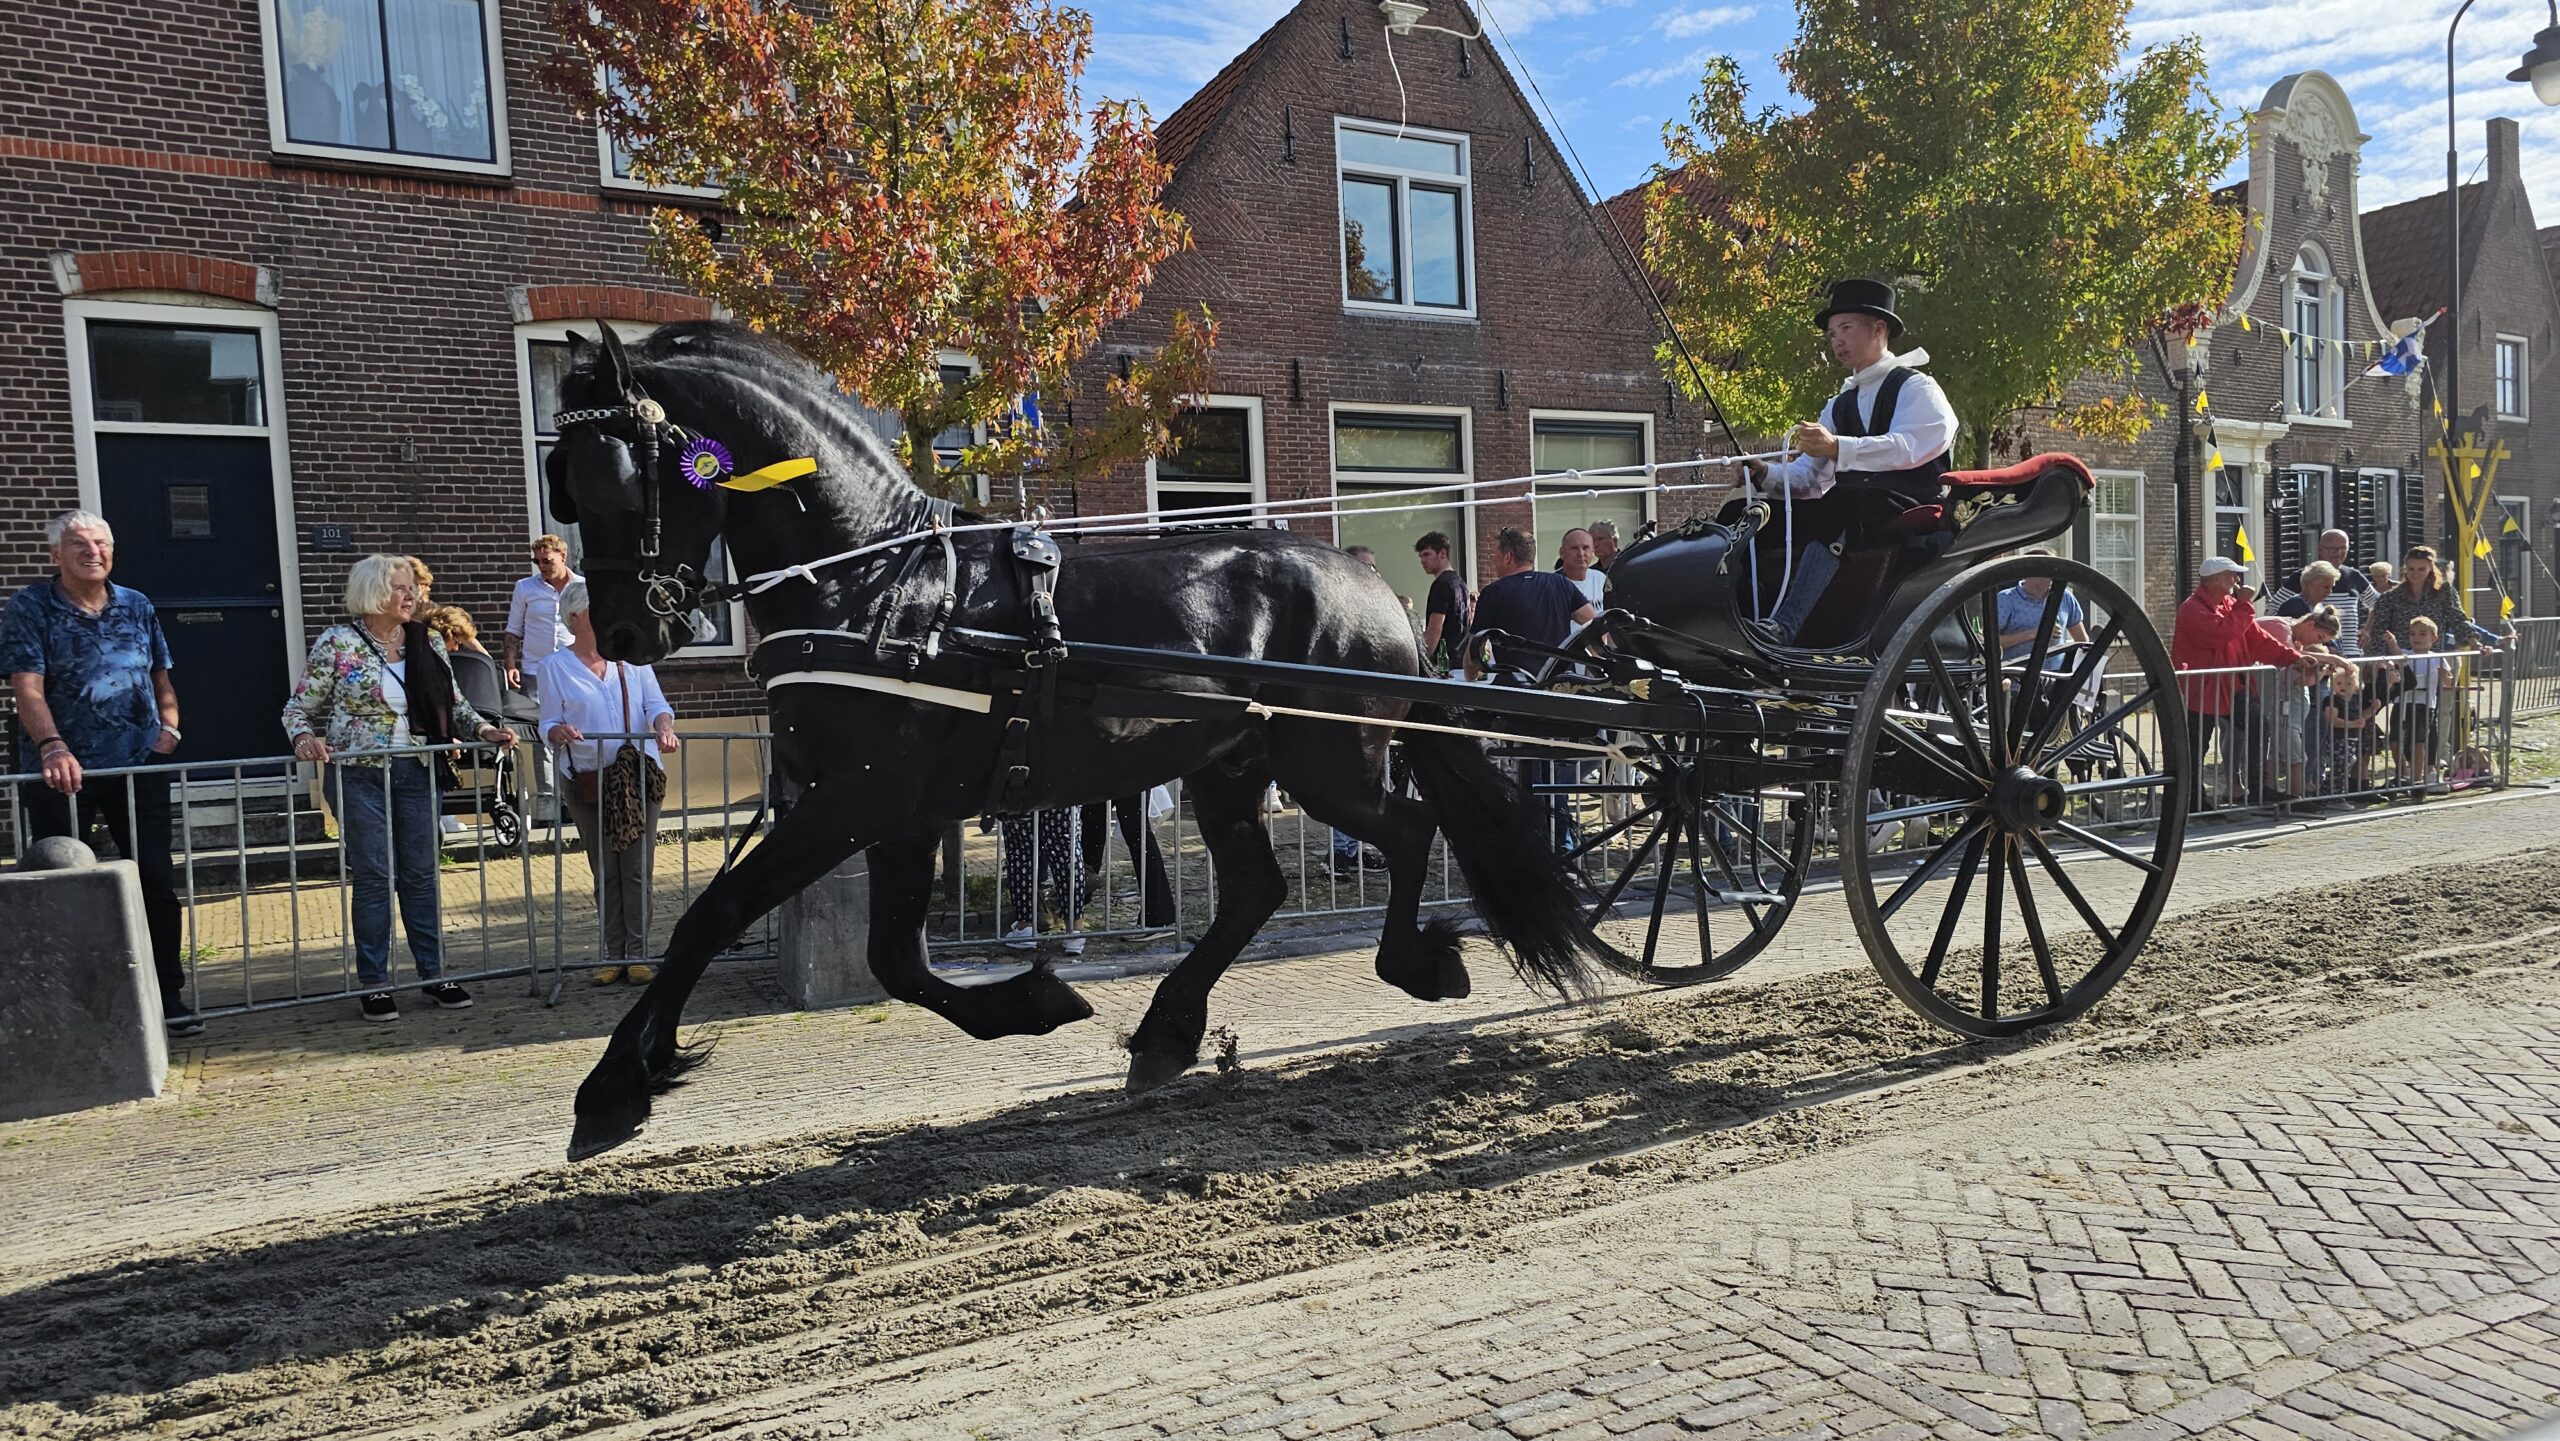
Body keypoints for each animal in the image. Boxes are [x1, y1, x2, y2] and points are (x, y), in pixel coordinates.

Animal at [546, 321, 1600, 1160]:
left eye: (616, 480)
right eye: (562, 487)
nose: (627, 632)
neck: (875, 585)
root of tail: (1367, 579)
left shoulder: (857, 800)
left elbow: (713, 916)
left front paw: (613, 1088)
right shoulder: (893, 813)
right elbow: (895, 961)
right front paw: (1036, 999)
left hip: (1328, 763)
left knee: (1410, 831)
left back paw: (1416, 963)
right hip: (1231, 770)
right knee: (1256, 889)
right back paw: (1169, 1033)